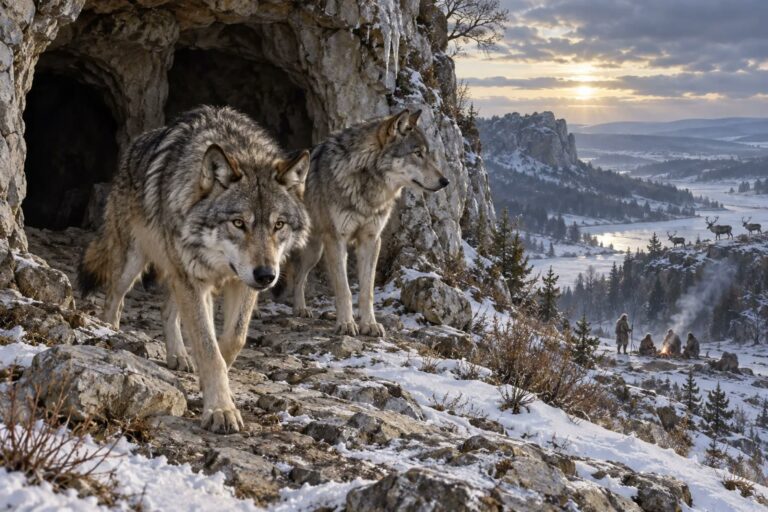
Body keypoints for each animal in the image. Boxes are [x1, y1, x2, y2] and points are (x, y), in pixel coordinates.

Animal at [79, 106, 310, 433]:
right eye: (239, 223)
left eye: (278, 225)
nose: (267, 276)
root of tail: (133, 148)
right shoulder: (195, 280)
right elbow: (208, 347)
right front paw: (221, 409)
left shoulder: (238, 285)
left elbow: (231, 342)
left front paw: (211, 389)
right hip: (134, 262)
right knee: (114, 298)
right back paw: (109, 332)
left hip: (179, 273)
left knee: (167, 309)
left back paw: (178, 356)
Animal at [290, 108, 448, 336]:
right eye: (417, 153)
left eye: (427, 153)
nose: (446, 181)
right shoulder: (337, 240)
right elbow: (344, 289)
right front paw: (346, 323)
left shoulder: (371, 240)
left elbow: (367, 291)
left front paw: (369, 324)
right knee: (293, 273)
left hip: (315, 251)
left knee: (298, 276)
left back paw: (300, 308)